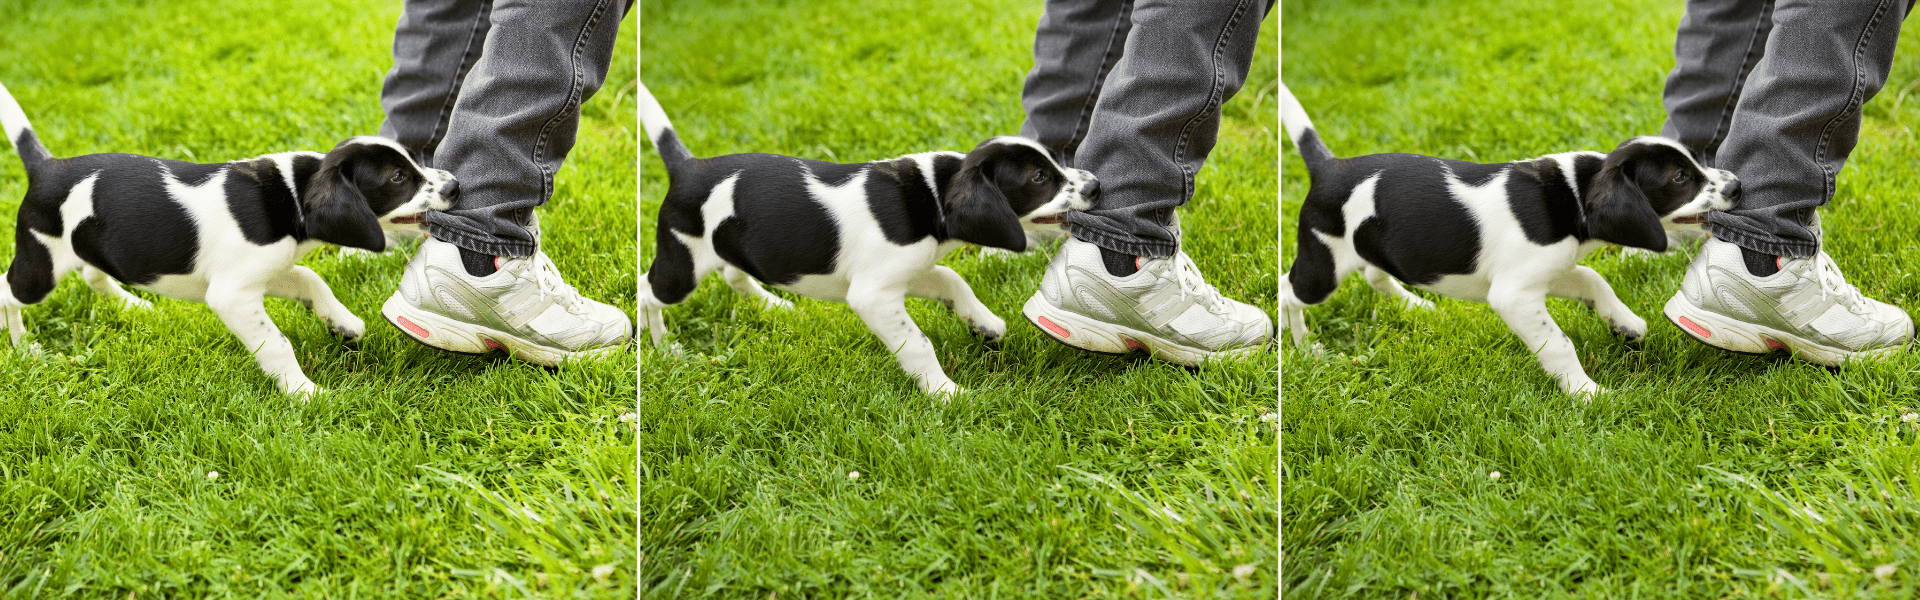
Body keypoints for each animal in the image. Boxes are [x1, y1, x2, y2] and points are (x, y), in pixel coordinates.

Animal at [0, 82, 456, 396]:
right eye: (397, 178)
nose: (454, 186)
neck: (291, 194)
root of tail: (47, 167)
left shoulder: (265, 271)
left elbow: (311, 278)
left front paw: (342, 322)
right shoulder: (232, 294)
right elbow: (276, 344)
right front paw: (305, 393)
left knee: (93, 275)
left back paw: (135, 305)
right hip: (40, 267)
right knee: (8, 293)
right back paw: (24, 348)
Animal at [637, 82, 1098, 396]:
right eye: (1039, 178)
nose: (1096, 186)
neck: (932, 193)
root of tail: (688, 167)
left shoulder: (907, 270)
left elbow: (952, 279)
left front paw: (983, 322)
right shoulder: (873, 295)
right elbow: (917, 344)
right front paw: (945, 393)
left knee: (734, 274)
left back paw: (775, 305)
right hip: (682, 267)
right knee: (646, 289)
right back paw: (662, 346)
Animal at [1274, 82, 1743, 396]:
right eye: (1680, 178)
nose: (1737, 186)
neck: (1573, 193)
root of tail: (1329, 167)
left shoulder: (1547, 271)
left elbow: (1593, 279)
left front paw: (1624, 322)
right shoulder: (1514, 295)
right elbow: (1559, 344)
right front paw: (1586, 393)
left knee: (1375, 274)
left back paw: (1416, 305)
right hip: (1323, 266)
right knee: (1287, 289)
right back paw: (1303, 345)